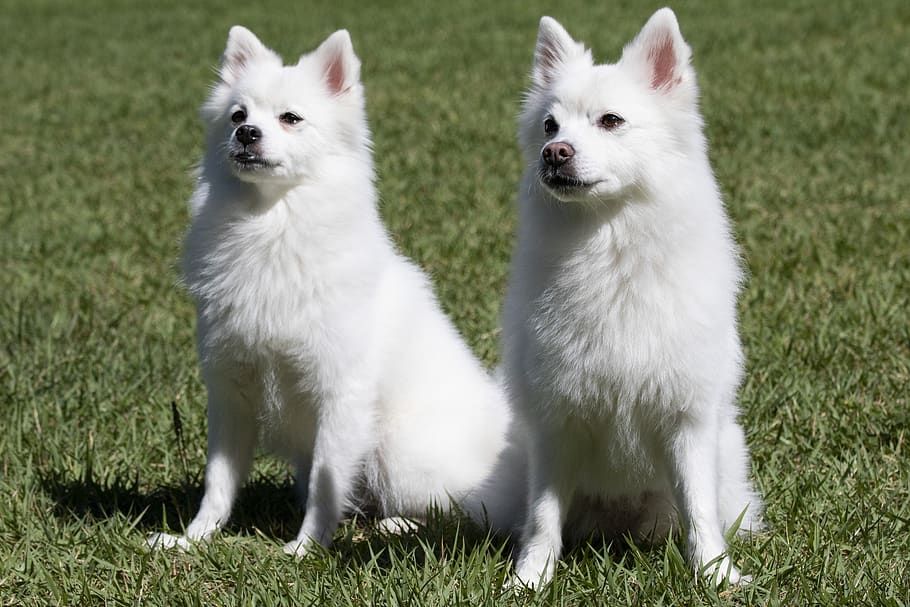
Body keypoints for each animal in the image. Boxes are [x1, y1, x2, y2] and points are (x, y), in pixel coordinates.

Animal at [146, 26, 524, 560]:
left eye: (290, 118)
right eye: (239, 115)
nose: (247, 134)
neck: (271, 227)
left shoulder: (340, 393)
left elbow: (326, 490)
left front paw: (305, 549)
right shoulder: (231, 389)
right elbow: (219, 481)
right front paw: (193, 538)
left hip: (398, 449)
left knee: (464, 514)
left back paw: (396, 526)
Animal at [502, 8, 764, 588]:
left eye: (611, 121)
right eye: (551, 125)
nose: (554, 154)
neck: (610, 253)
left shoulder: (686, 418)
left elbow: (699, 508)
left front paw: (714, 574)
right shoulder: (557, 421)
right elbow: (543, 514)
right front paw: (531, 577)